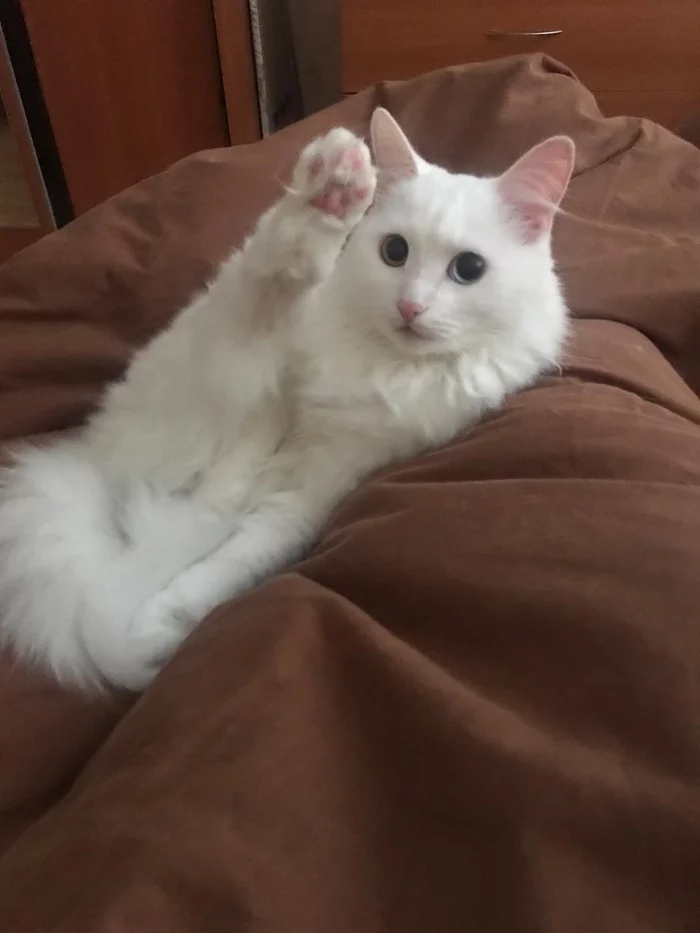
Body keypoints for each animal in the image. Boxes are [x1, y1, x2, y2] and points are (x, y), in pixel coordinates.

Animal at [0, 111, 576, 692]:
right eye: (394, 252)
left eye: (468, 269)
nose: (410, 308)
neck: (383, 364)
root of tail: (96, 465)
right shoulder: (273, 372)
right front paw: (334, 189)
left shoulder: (323, 481)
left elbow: (232, 561)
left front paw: (160, 631)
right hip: (201, 372)